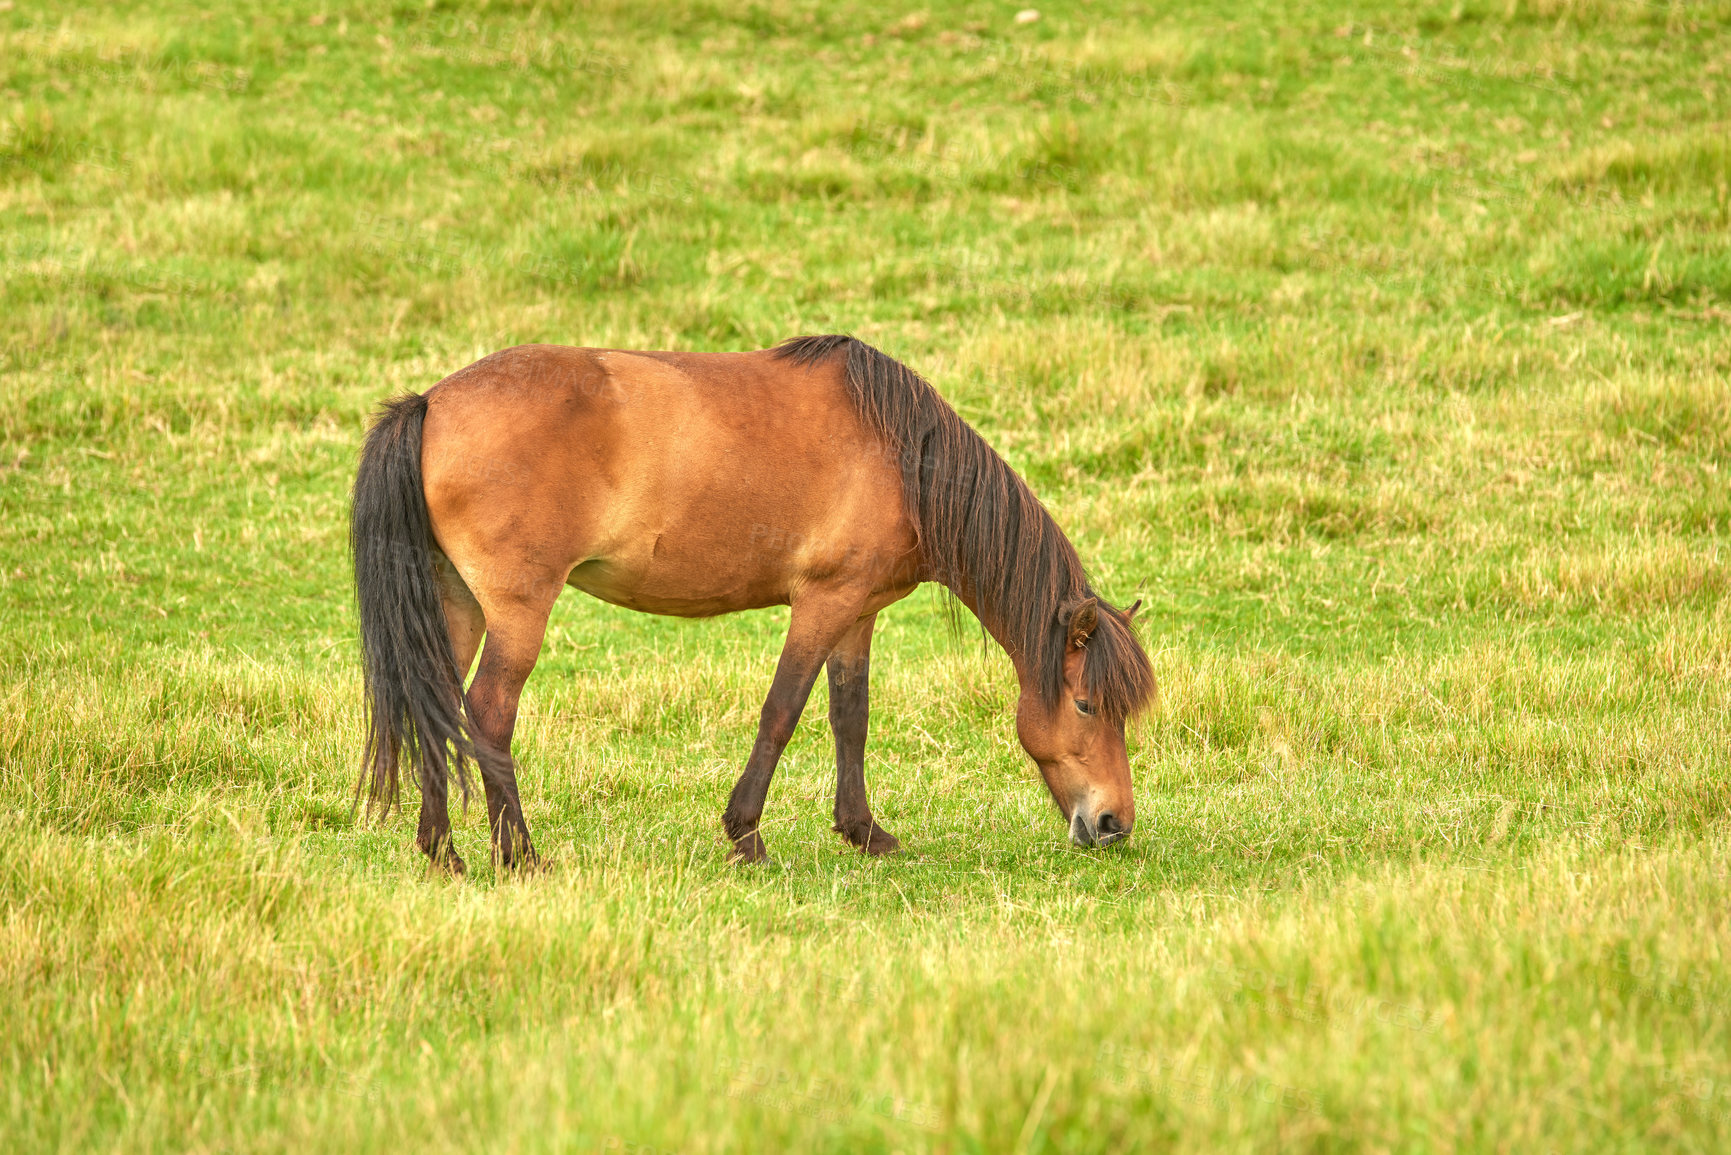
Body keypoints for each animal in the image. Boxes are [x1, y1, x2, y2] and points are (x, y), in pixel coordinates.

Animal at [351, 339, 1156, 872]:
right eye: (1086, 704)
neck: (900, 456)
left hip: (456, 603)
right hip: (518, 611)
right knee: (487, 712)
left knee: (434, 703)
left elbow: (850, 716)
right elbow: (783, 710)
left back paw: (442, 851)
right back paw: (519, 853)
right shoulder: (822, 603)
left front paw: (863, 831)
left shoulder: (858, 612)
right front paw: (747, 835)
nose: (1112, 822)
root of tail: (432, 405)